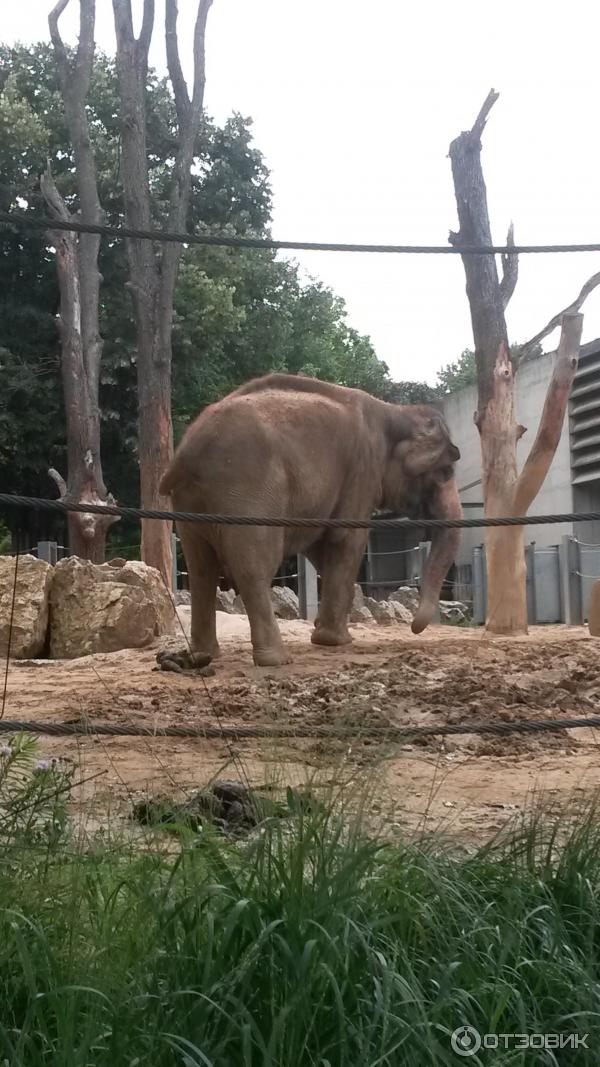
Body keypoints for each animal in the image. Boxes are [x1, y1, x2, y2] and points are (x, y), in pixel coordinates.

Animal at [158, 371, 456, 661]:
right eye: (445, 473)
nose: (414, 628)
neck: (393, 411)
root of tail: (185, 453)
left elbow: (319, 546)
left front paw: (326, 631)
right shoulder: (362, 470)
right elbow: (346, 539)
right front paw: (334, 640)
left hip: (192, 505)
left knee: (201, 569)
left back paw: (204, 655)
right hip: (247, 490)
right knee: (254, 566)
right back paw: (276, 659)